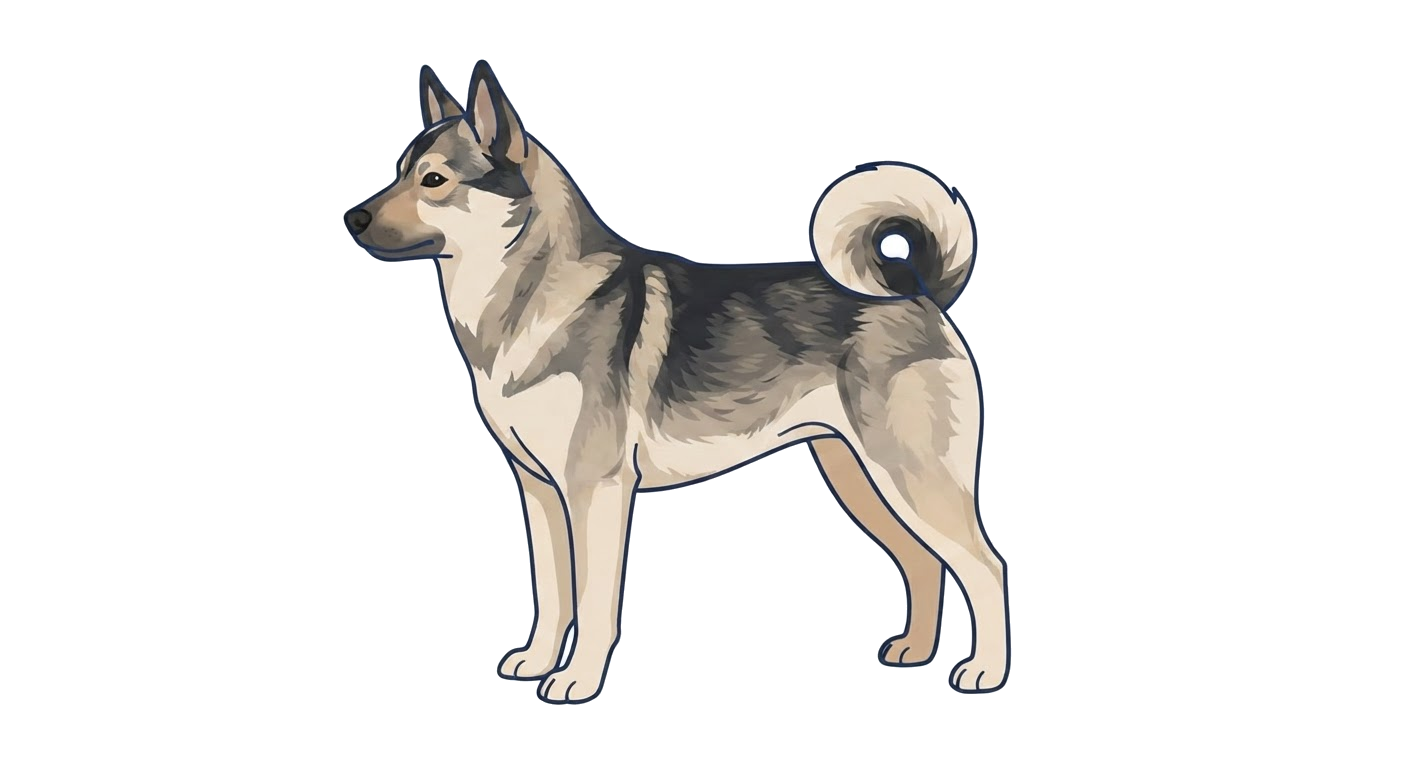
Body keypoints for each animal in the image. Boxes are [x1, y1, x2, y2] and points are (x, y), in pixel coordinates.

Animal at [343, 61, 1010, 704]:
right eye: (398, 173)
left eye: (433, 181)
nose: (351, 217)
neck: (525, 299)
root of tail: (916, 288)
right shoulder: (538, 490)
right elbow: (552, 593)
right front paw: (536, 661)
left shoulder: (596, 489)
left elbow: (593, 600)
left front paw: (577, 681)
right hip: (860, 478)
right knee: (923, 562)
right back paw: (915, 651)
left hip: (910, 476)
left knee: (987, 566)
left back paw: (985, 672)